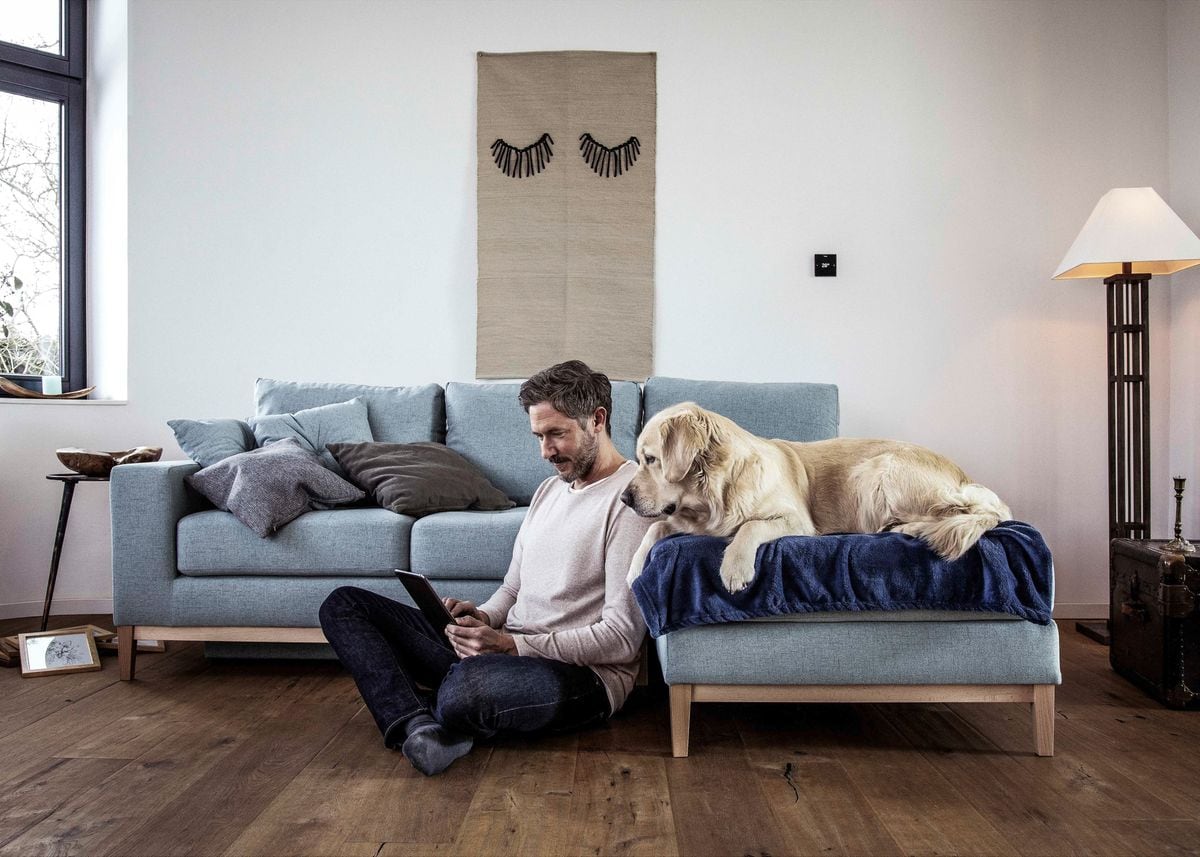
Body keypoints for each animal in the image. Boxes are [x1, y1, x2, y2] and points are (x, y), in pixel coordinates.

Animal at [624, 403, 1008, 590]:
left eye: (651, 459)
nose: (625, 498)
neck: (717, 492)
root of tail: (965, 477)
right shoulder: (691, 521)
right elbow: (655, 528)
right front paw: (634, 569)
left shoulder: (796, 521)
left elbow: (750, 527)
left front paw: (735, 568)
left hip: (877, 472)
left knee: (963, 513)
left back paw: (907, 529)